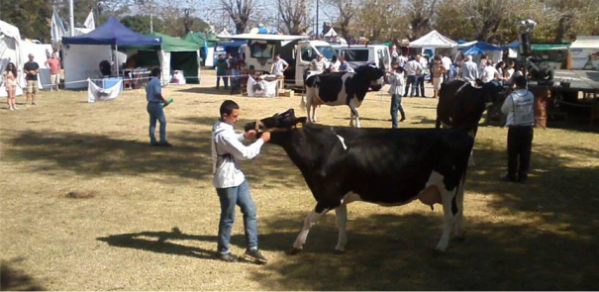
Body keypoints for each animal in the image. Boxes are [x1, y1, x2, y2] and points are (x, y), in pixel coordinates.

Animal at [246, 109, 476, 253]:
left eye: (279, 120)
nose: (249, 123)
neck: (319, 148)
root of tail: (460, 133)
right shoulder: (337, 195)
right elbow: (341, 219)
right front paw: (341, 246)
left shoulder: (328, 195)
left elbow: (309, 219)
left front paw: (297, 245)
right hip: (456, 187)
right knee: (459, 209)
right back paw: (459, 235)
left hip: (447, 185)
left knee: (449, 214)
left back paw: (441, 246)